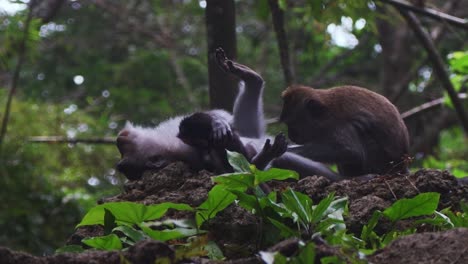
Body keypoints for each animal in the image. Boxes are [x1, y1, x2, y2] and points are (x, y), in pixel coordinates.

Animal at [280, 84, 408, 177]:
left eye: (292, 124)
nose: (290, 135)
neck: (325, 113)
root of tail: (402, 166)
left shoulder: (340, 123)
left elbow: (350, 151)